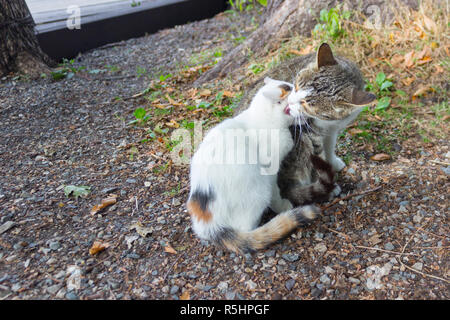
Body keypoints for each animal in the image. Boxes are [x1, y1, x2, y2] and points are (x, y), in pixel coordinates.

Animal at [186, 77, 320, 252]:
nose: (308, 114)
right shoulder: (270, 171)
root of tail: (210, 224)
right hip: (260, 189)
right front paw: (282, 205)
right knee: (246, 229)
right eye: (294, 106)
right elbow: (276, 193)